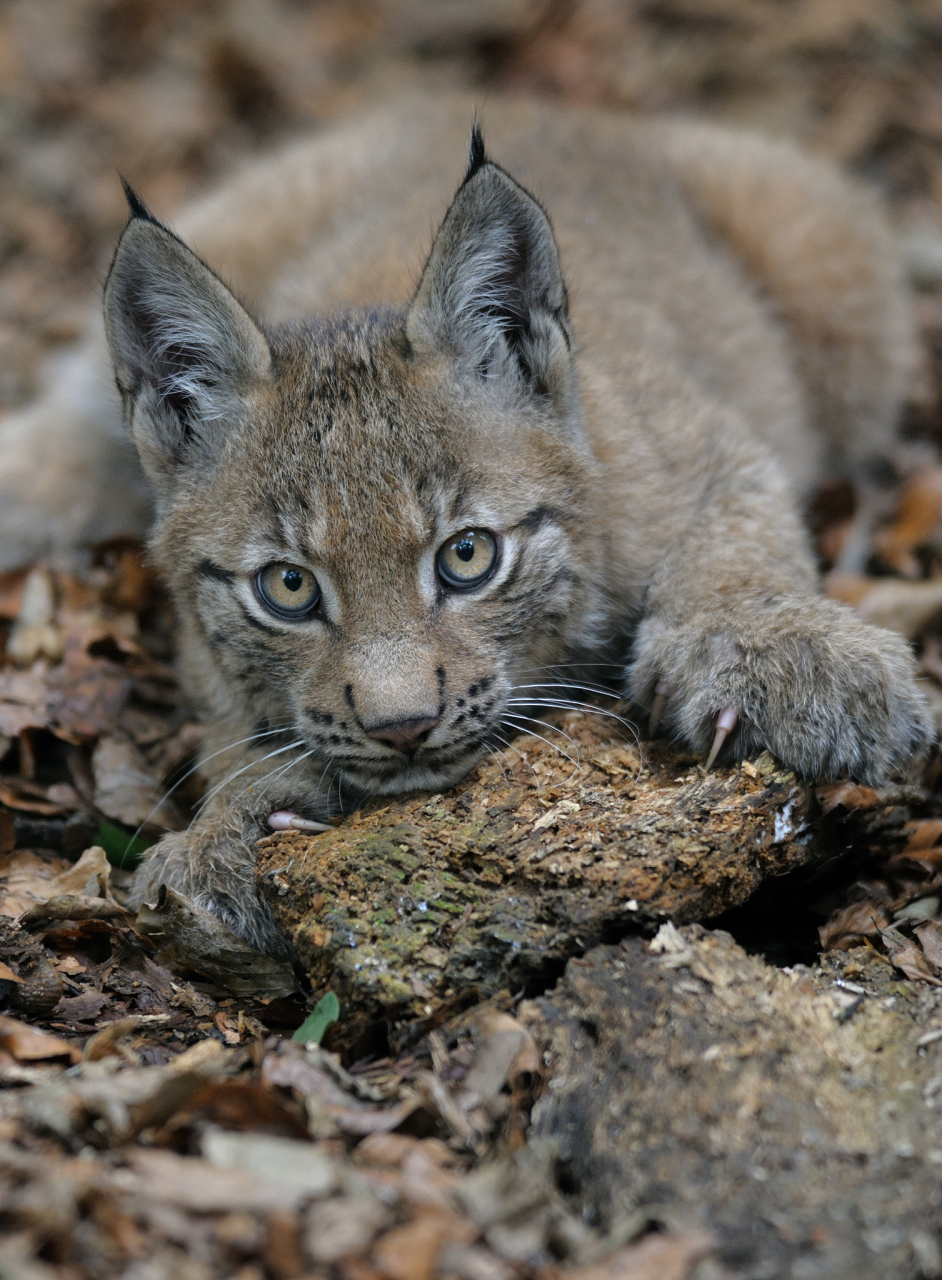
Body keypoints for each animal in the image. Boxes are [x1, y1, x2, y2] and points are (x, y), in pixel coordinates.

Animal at [5, 94, 936, 952]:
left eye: (467, 555)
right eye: (288, 587)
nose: (403, 728)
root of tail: (551, 102)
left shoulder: (714, 444)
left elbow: (740, 546)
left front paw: (784, 653)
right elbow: (228, 722)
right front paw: (230, 818)